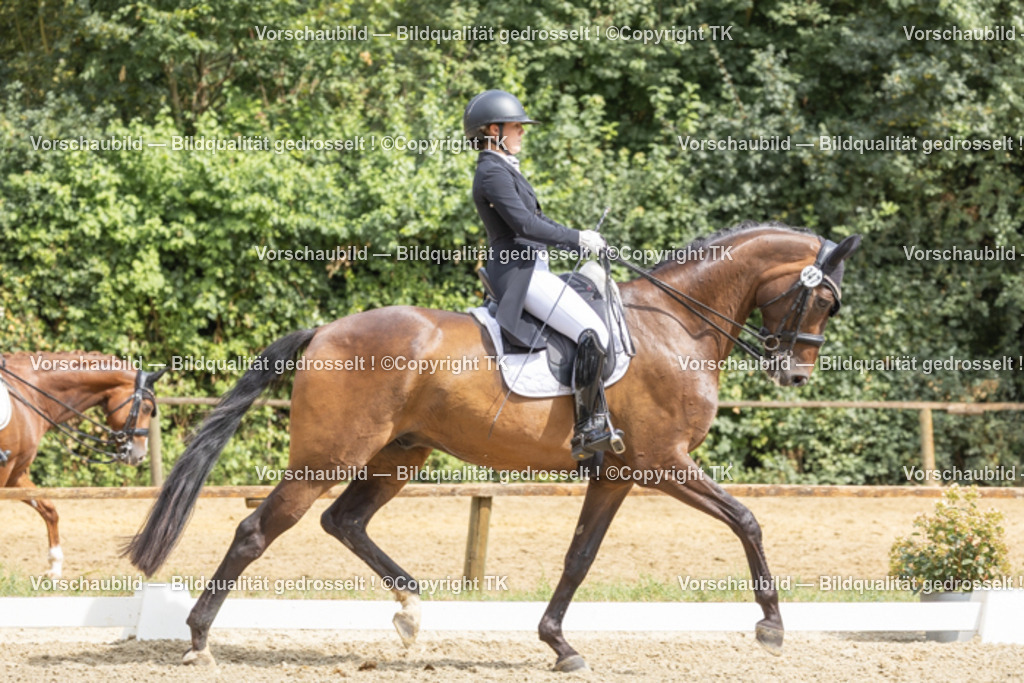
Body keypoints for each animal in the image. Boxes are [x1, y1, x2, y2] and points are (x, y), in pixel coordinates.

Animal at [0, 353, 165, 576]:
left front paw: (55, 567)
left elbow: (49, 509)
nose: (140, 456)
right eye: (147, 408)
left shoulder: (14, 474)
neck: (28, 394)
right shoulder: (5, 471)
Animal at [126, 223, 861, 671]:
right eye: (824, 302)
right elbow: (747, 518)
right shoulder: (663, 462)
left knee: (345, 520)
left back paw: (412, 610)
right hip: (328, 457)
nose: (795, 374)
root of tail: (324, 331)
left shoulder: (619, 472)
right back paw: (198, 638)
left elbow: (579, 556)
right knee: (258, 529)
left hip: (399, 454)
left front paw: (559, 643)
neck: (675, 324)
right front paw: (772, 626)